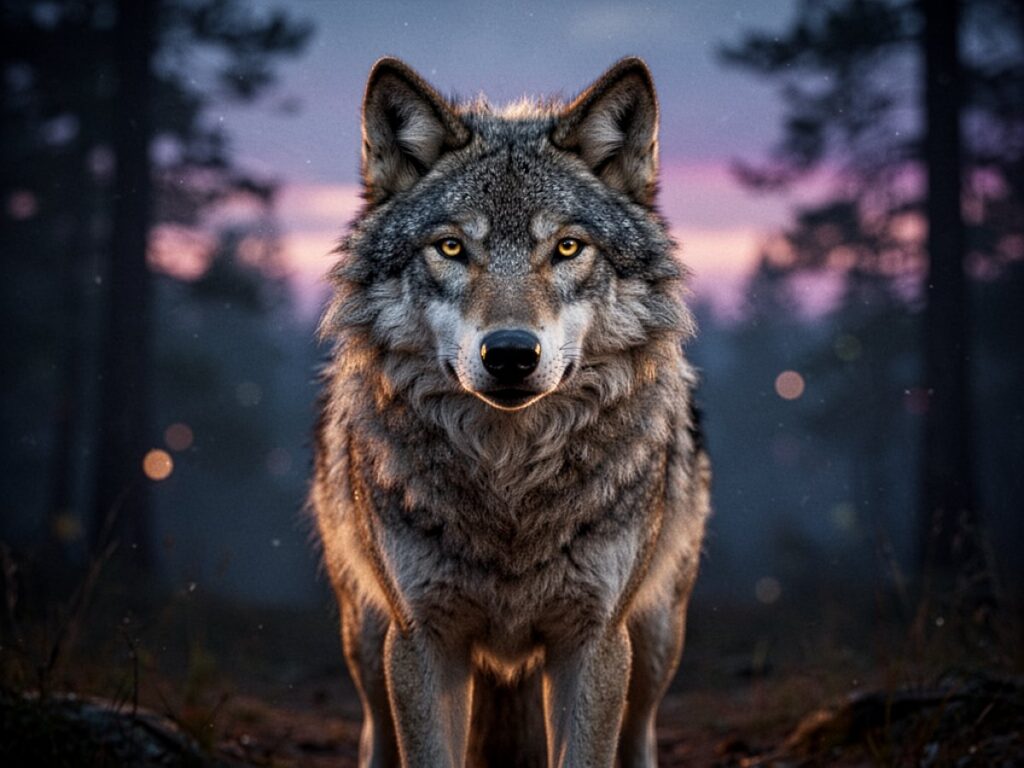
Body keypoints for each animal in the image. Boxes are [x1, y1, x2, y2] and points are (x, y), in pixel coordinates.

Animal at [312, 56, 711, 768]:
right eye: (450, 248)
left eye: (567, 248)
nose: (509, 354)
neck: (510, 480)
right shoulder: (422, 639)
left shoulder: (593, 640)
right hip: (366, 636)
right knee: (374, 730)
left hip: (656, 637)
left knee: (641, 731)